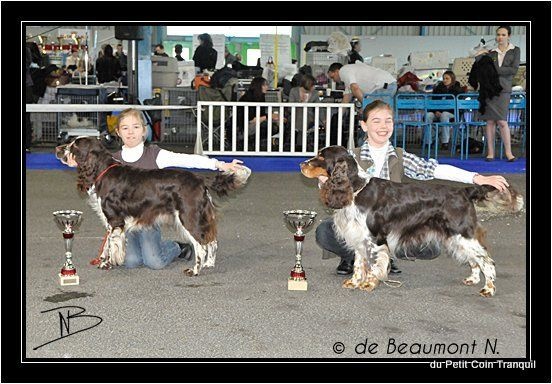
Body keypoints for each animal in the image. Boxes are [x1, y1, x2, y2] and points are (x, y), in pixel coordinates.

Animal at [55, 136, 250, 274]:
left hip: (188, 216)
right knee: (211, 240)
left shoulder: (115, 220)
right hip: (200, 216)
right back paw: (209, 264)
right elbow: (108, 244)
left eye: (74, 145)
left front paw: (106, 264)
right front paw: (104, 261)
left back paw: (194, 270)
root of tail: (200, 179)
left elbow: (110, 244)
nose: (57, 149)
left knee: (200, 245)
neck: (102, 169)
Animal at [302, 146, 520, 298]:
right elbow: (358, 264)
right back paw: (473, 279)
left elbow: (373, 264)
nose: (301, 164)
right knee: (475, 259)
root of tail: (464, 191)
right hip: (456, 236)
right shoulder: (358, 236)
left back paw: (488, 289)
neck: (356, 189)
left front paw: (368, 284)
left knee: (486, 260)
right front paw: (354, 282)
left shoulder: (374, 238)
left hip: (463, 233)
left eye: (321, 156)